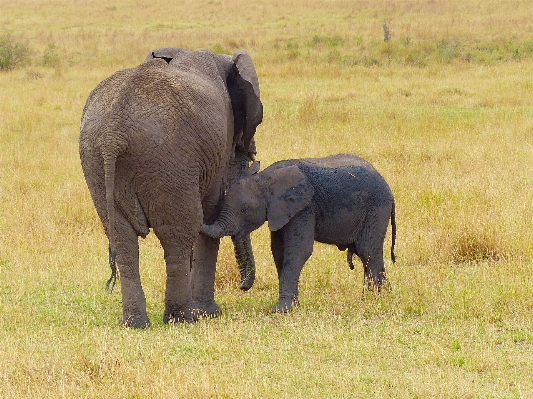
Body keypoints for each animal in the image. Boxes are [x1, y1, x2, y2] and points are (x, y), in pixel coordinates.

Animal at [79, 47, 262, 328]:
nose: (244, 287)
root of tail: (113, 134)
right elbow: (209, 214)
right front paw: (209, 313)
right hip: (169, 159)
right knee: (178, 232)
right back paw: (182, 318)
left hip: (96, 162)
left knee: (121, 238)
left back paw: (135, 324)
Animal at [202, 153, 392, 312]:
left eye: (244, 210)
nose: (242, 288)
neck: (265, 178)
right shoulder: (281, 212)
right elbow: (279, 251)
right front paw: (292, 305)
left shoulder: (304, 208)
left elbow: (298, 250)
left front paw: (282, 310)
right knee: (365, 253)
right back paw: (376, 297)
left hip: (377, 208)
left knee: (368, 250)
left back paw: (377, 300)